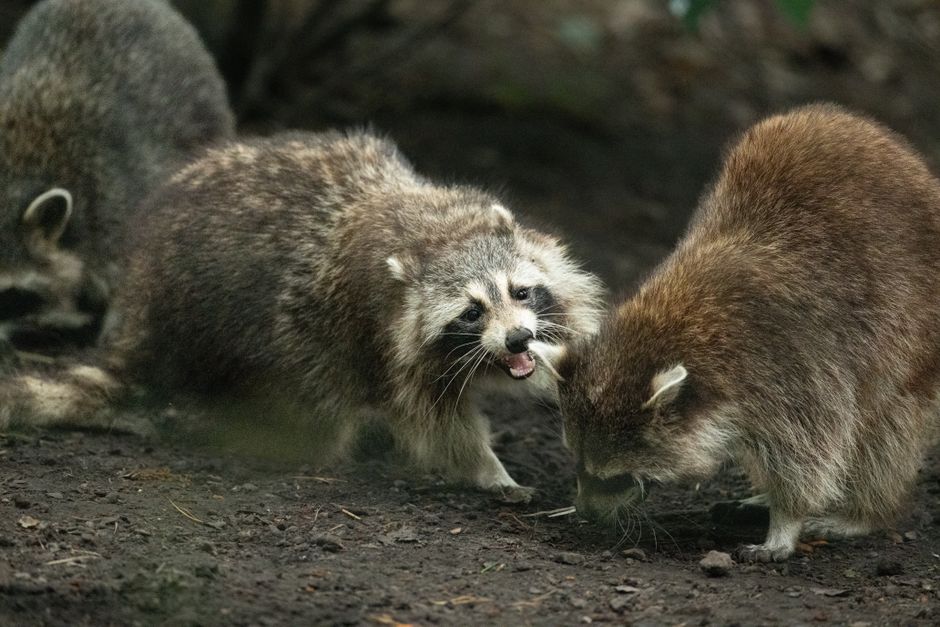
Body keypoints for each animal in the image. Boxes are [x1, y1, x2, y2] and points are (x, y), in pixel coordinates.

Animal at [1, 130, 604, 500]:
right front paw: (488, 471)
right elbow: (437, 420)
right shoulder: (381, 328)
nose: (517, 340)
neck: (438, 234)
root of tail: (142, 311)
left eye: (521, 292)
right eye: (471, 313)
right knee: (310, 383)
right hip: (241, 327)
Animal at [558, 104, 940, 561]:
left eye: (615, 477)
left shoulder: (795, 366)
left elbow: (811, 449)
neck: (670, 324)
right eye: (577, 465)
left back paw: (863, 512)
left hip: (916, 328)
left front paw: (786, 521)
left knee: (887, 429)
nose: (584, 513)